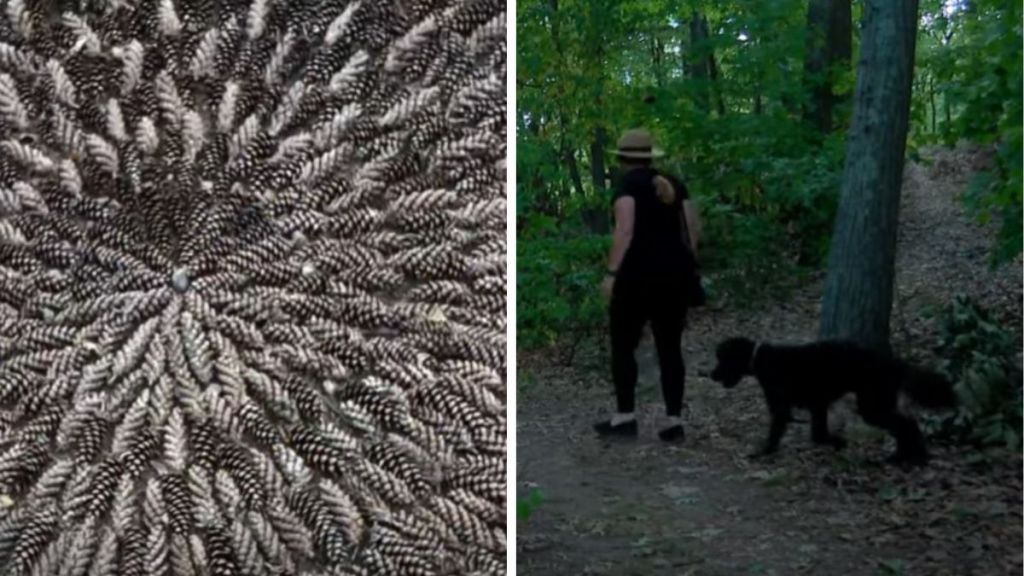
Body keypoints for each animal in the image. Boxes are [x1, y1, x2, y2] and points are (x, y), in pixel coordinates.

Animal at [708, 334, 954, 463]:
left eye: (722, 359)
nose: (711, 374)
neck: (759, 358)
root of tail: (894, 363)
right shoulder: (818, 405)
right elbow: (818, 434)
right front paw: (836, 442)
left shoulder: (782, 408)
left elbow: (777, 432)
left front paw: (764, 451)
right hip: (876, 403)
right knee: (905, 425)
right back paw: (905, 456)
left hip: (872, 406)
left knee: (906, 424)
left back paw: (911, 458)